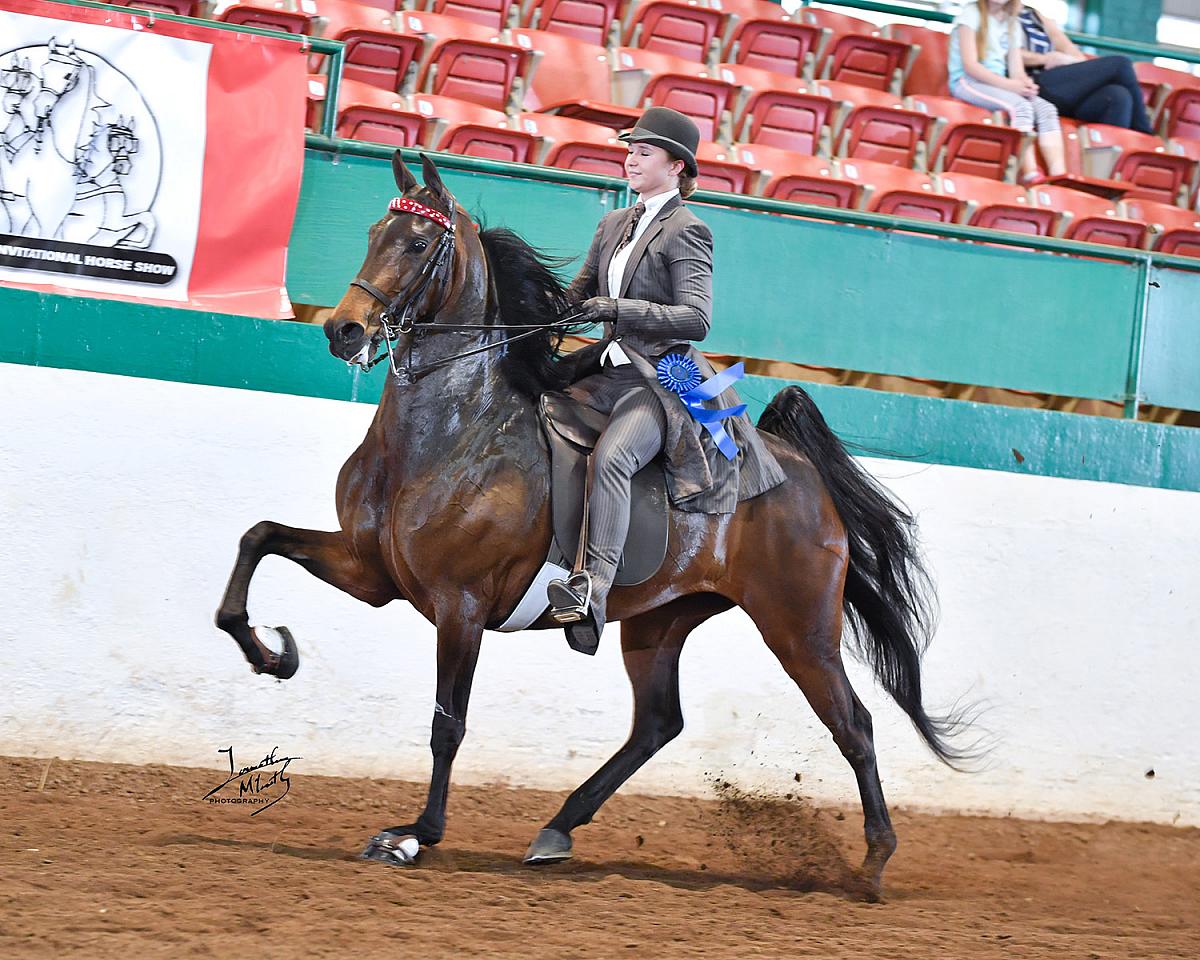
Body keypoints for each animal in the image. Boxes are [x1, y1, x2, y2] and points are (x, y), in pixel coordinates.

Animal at [215, 152, 968, 898]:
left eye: (419, 244)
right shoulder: (371, 571)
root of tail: (801, 472)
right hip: (661, 620)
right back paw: (556, 830)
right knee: (658, 723)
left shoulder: (460, 606)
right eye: (376, 232)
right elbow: (257, 539)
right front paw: (272, 654)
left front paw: (413, 835)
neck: (451, 434)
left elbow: (447, 725)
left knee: (853, 724)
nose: (343, 330)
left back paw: (872, 864)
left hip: (798, 626)